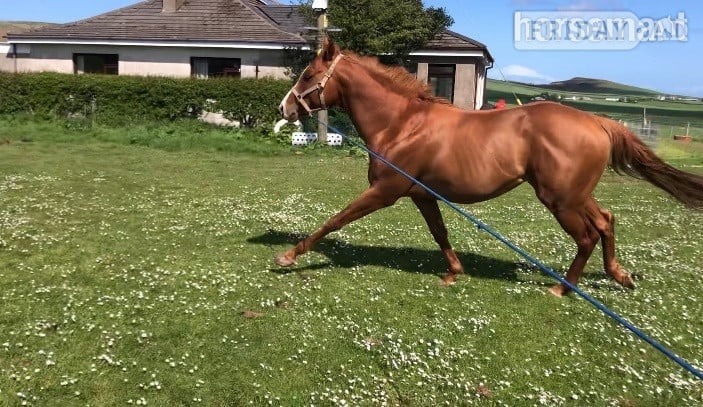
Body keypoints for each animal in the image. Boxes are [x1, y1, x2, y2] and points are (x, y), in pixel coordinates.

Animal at [276, 37, 703, 296]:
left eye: (309, 75)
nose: (284, 108)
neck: (402, 124)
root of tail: (597, 121)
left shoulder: (384, 192)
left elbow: (335, 219)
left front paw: (289, 257)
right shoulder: (422, 195)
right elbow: (440, 233)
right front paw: (453, 272)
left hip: (561, 200)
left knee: (587, 236)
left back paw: (562, 288)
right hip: (577, 195)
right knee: (606, 221)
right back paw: (619, 274)